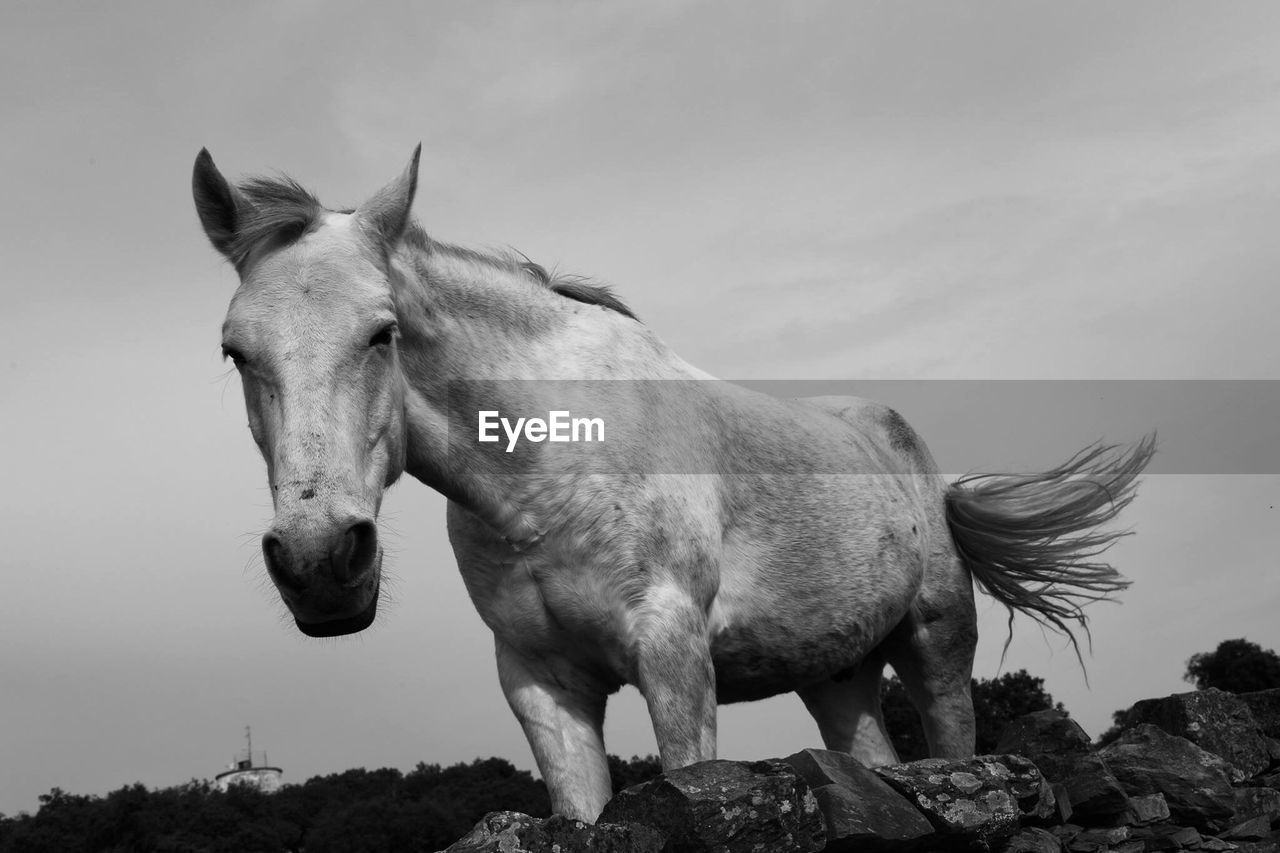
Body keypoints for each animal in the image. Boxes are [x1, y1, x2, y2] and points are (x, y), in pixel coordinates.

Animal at [192, 147, 1162, 824]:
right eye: (235, 351)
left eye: (383, 332)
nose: (320, 562)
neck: (546, 473)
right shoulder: (542, 684)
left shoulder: (673, 656)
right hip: (837, 673)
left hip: (935, 645)